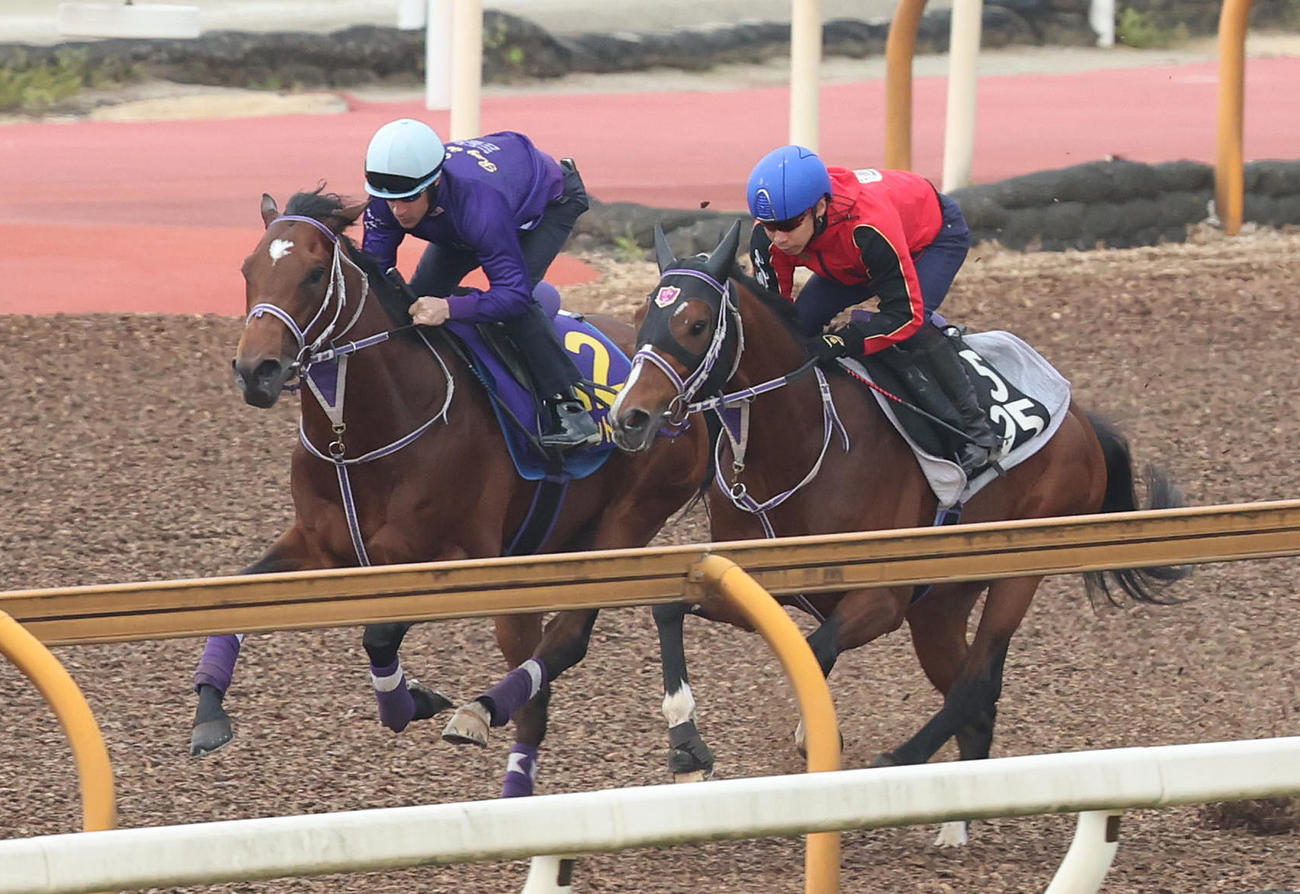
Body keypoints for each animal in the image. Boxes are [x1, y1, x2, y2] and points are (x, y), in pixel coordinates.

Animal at [189, 189, 708, 799]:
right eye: (247, 270)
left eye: (314, 274)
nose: (257, 371)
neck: (359, 436)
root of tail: (684, 390)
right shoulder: (319, 548)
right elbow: (237, 597)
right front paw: (208, 713)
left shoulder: (454, 559)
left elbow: (379, 637)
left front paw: (410, 702)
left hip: (625, 523)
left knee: (556, 655)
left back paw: (485, 717)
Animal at [607, 222, 1191, 839]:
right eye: (643, 315)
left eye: (695, 324)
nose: (629, 418)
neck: (795, 449)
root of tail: (1082, 420)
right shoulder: (759, 585)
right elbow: (668, 611)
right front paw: (686, 745)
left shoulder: (879, 601)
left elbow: (813, 649)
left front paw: (814, 735)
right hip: (939, 605)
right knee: (970, 692)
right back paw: (954, 823)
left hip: (1018, 571)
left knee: (977, 683)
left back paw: (900, 762)